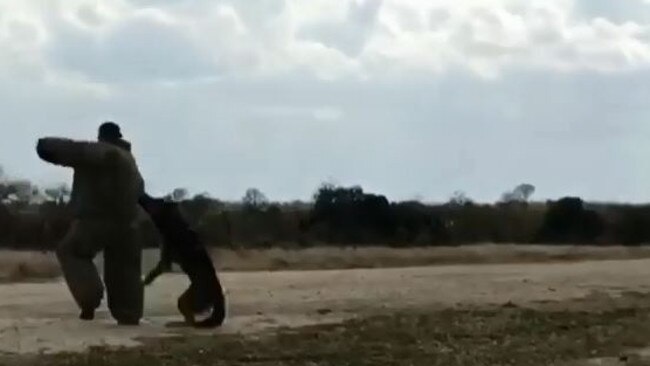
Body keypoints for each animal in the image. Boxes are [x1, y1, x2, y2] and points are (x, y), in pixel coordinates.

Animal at [139, 193, 225, 328]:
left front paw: (144, 281)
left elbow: (154, 272)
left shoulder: (166, 260)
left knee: (192, 321)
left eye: (156, 200)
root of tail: (219, 297)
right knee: (190, 318)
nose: (142, 194)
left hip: (193, 299)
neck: (174, 223)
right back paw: (178, 323)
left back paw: (178, 324)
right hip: (187, 298)